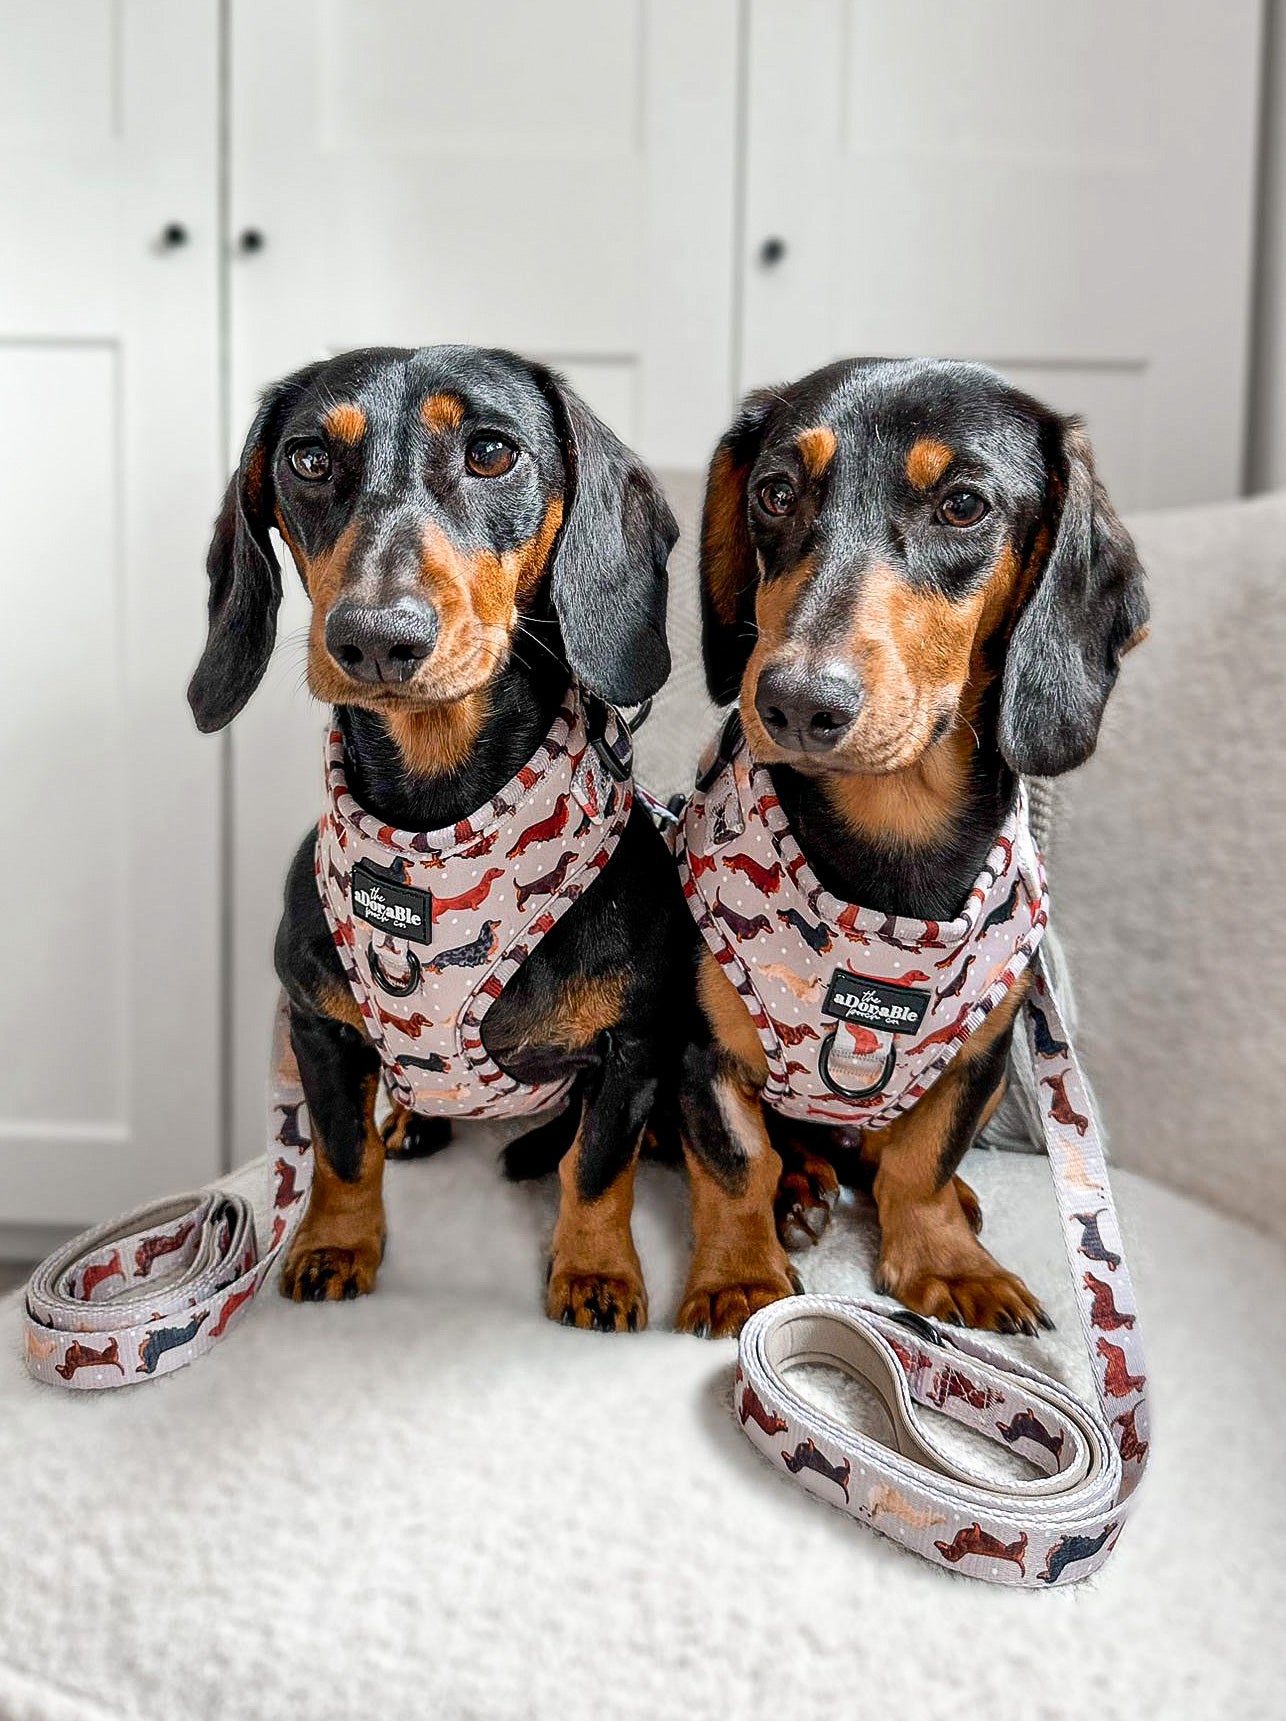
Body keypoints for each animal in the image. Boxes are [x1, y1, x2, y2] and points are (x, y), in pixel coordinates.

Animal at [188, 346, 686, 1331]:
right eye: (307, 459)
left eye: (492, 451)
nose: (377, 637)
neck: (438, 830)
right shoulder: (317, 1027)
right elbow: (342, 1152)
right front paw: (338, 1245)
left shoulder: (634, 1049)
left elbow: (598, 1168)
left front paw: (597, 1271)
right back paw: (417, 1116)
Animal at [674, 358, 1146, 1337]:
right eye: (775, 492)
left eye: (963, 505)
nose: (795, 701)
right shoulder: (699, 1044)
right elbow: (735, 1162)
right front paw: (740, 1275)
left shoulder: (983, 1054)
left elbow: (924, 1160)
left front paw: (944, 1260)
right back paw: (801, 1185)